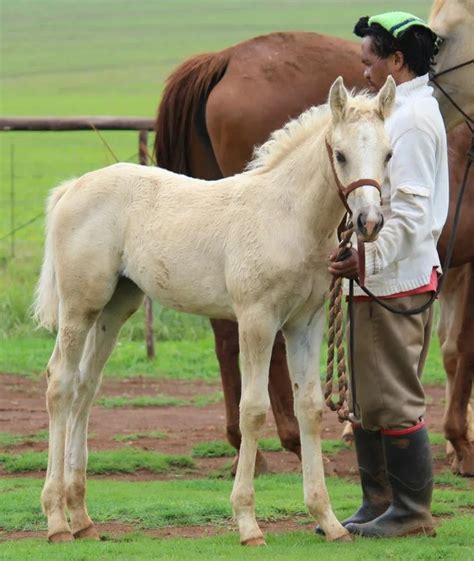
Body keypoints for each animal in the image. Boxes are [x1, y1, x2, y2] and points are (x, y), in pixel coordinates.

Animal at [35, 76, 394, 544]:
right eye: (341, 154)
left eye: (388, 153)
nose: (369, 222)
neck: (288, 218)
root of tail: (72, 189)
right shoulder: (257, 320)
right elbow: (253, 409)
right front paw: (248, 523)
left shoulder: (305, 323)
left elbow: (311, 407)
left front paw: (328, 520)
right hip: (81, 306)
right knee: (60, 382)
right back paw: (57, 519)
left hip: (116, 308)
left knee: (85, 386)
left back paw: (81, 517)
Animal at [154, 5, 472, 472]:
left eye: (389, 155)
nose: (368, 223)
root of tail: (223, 60)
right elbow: (460, 349)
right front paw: (461, 444)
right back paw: (286, 441)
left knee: (226, 336)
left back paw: (246, 447)